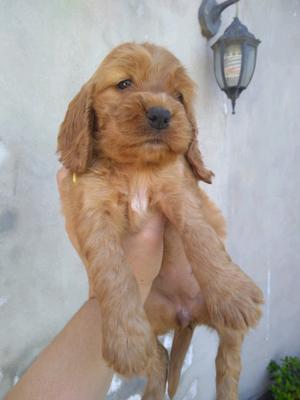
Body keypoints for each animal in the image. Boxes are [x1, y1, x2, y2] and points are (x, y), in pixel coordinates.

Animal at [57, 42, 264, 398]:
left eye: (179, 96)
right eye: (124, 83)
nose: (161, 114)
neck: (137, 168)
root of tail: (186, 316)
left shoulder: (179, 190)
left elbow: (201, 236)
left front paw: (231, 292)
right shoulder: (93, 209)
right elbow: (111, 269)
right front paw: (124, 341)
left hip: (225, 329)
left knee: (228, 361)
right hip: (152, 320)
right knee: (157, 358)